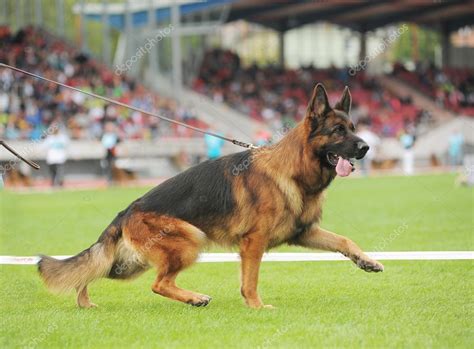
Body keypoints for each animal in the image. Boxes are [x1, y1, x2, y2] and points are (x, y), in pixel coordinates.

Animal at [38, 83, 386, 308]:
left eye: (353, 128)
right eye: (338, 131)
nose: (366, 147)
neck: (293, 170)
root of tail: (126, 211)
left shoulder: (304, 232)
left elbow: (344, 240)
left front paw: (366, 260)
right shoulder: (253, 243)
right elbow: (251, 280)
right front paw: (257, 307)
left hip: (127, 265)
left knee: (94, 271)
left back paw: (85, 301)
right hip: (190, 239)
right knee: (158, 283)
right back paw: (194, 298)